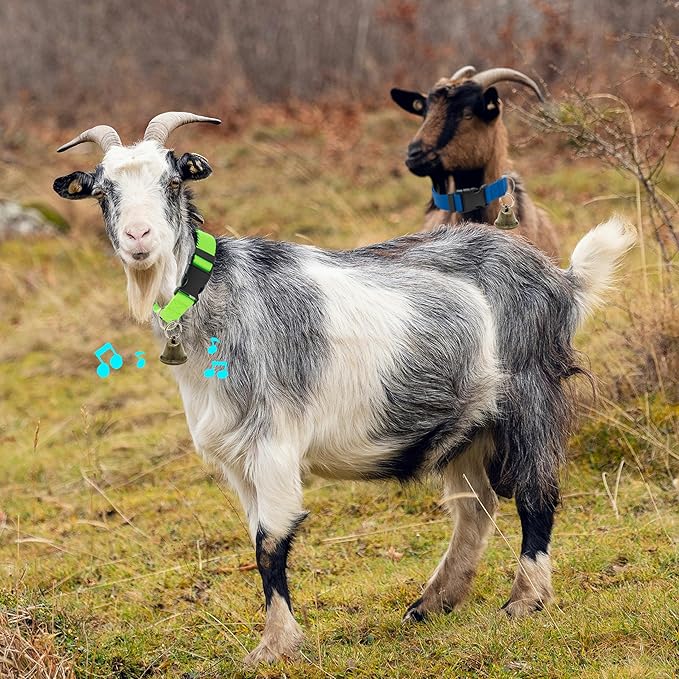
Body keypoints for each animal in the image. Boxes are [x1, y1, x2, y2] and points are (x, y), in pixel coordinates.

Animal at [53, 112, 635, 666]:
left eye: (172, 180)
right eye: (103, 191)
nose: (139, 238)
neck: (215, 299)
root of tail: (560, 280)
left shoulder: (274, 442)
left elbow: (269, 543)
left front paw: (276, 645)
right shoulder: (235, 458)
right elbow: (256, 538)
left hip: (530, 397)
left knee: (537, 492)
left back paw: (524, 600)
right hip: (469, 424)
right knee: (476, 508)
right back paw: (433, 603)